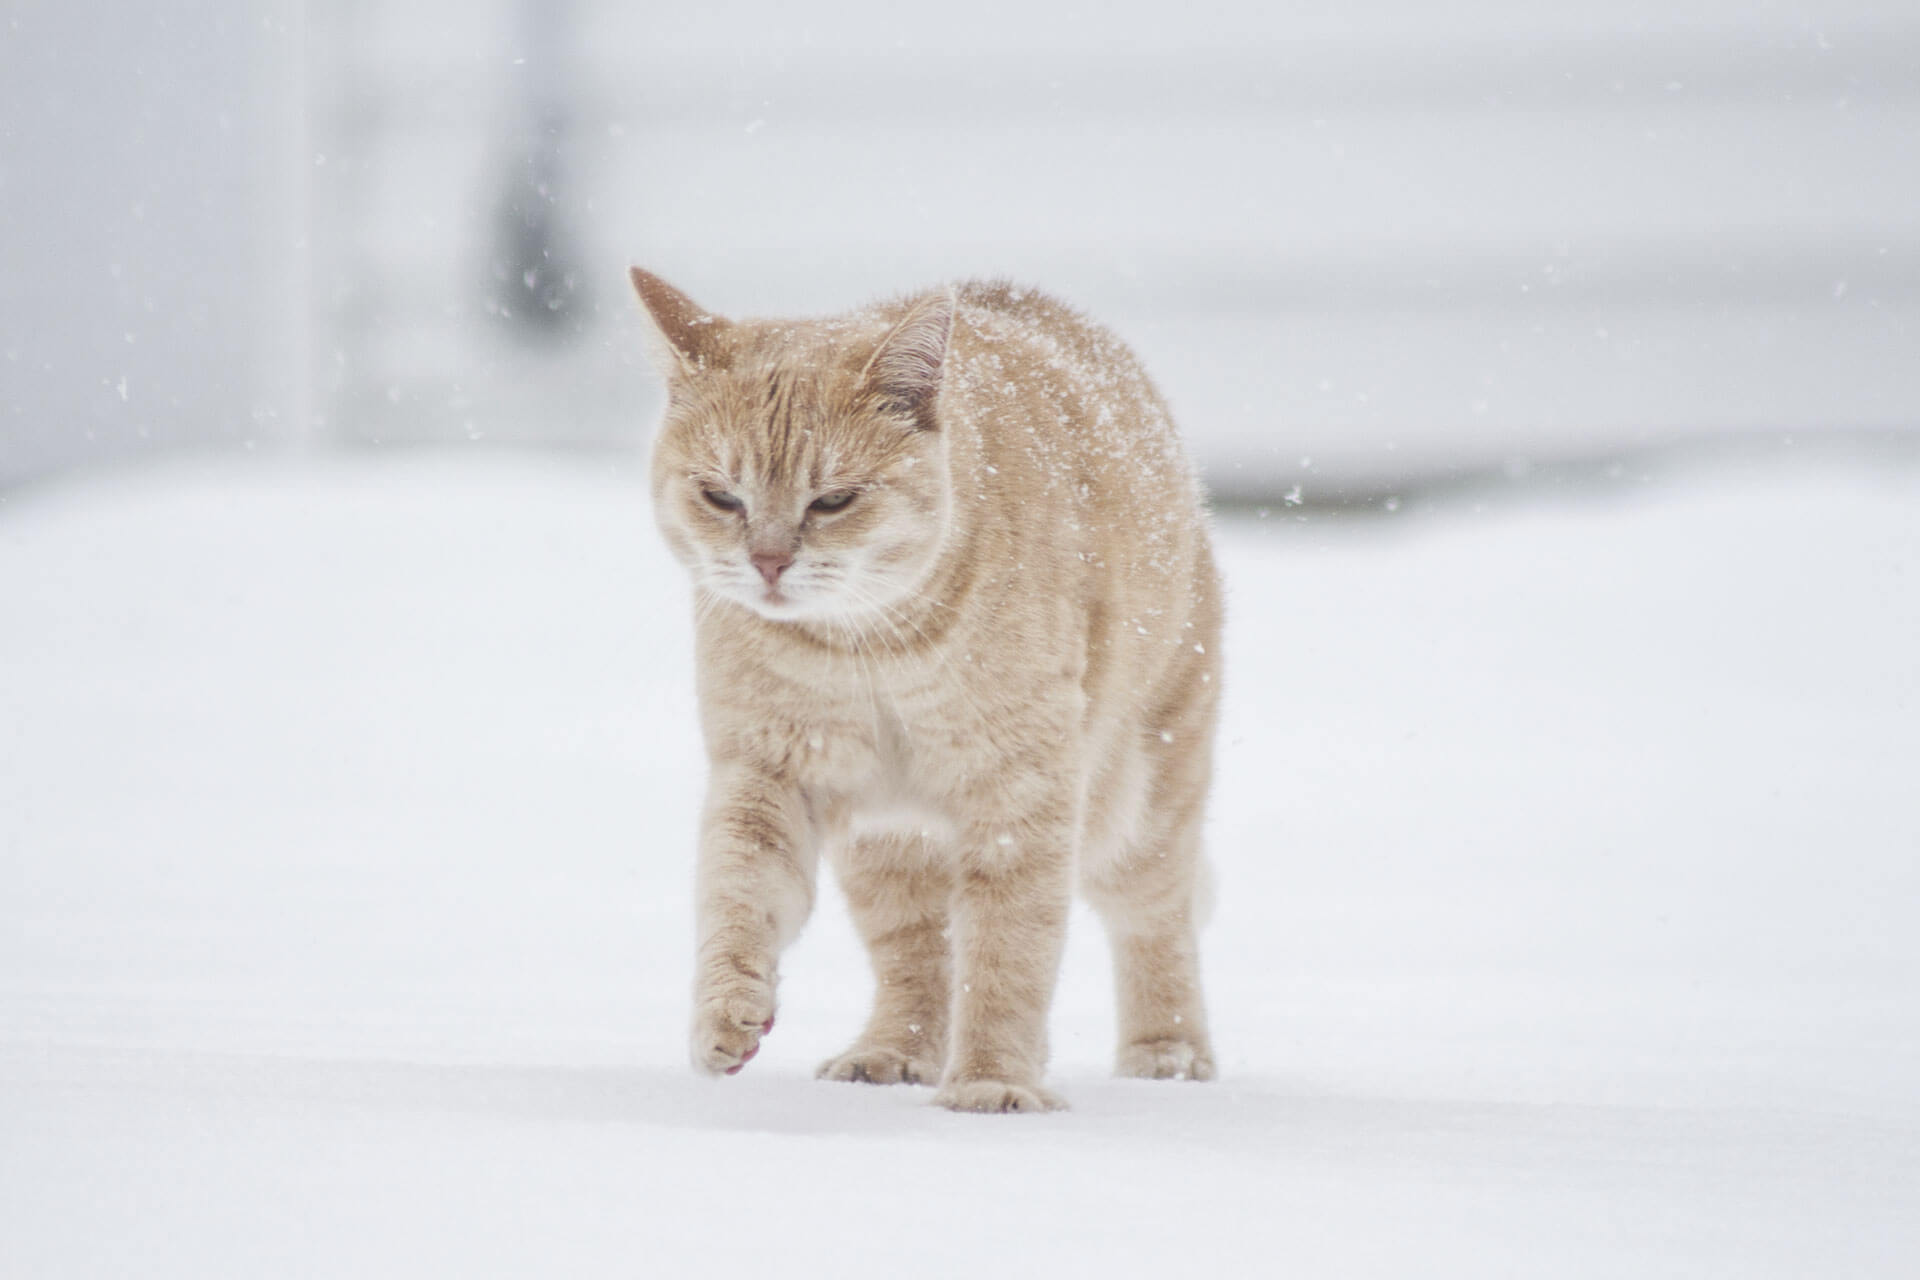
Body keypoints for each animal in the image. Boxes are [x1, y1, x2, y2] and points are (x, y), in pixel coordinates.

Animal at [637, 270, 1221, 1113]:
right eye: (721, 497)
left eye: (833, 500)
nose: (768, 561)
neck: (865, 649)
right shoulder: (767, 770)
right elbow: (737, 894)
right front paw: (726, 1013)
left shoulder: (1020, 794)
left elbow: (1010, 952)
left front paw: (992, 1082)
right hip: (889, 845)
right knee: (915, 958)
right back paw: (890, 1053)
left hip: (1140, 803)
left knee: (1157, 921)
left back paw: (1166, 1052)